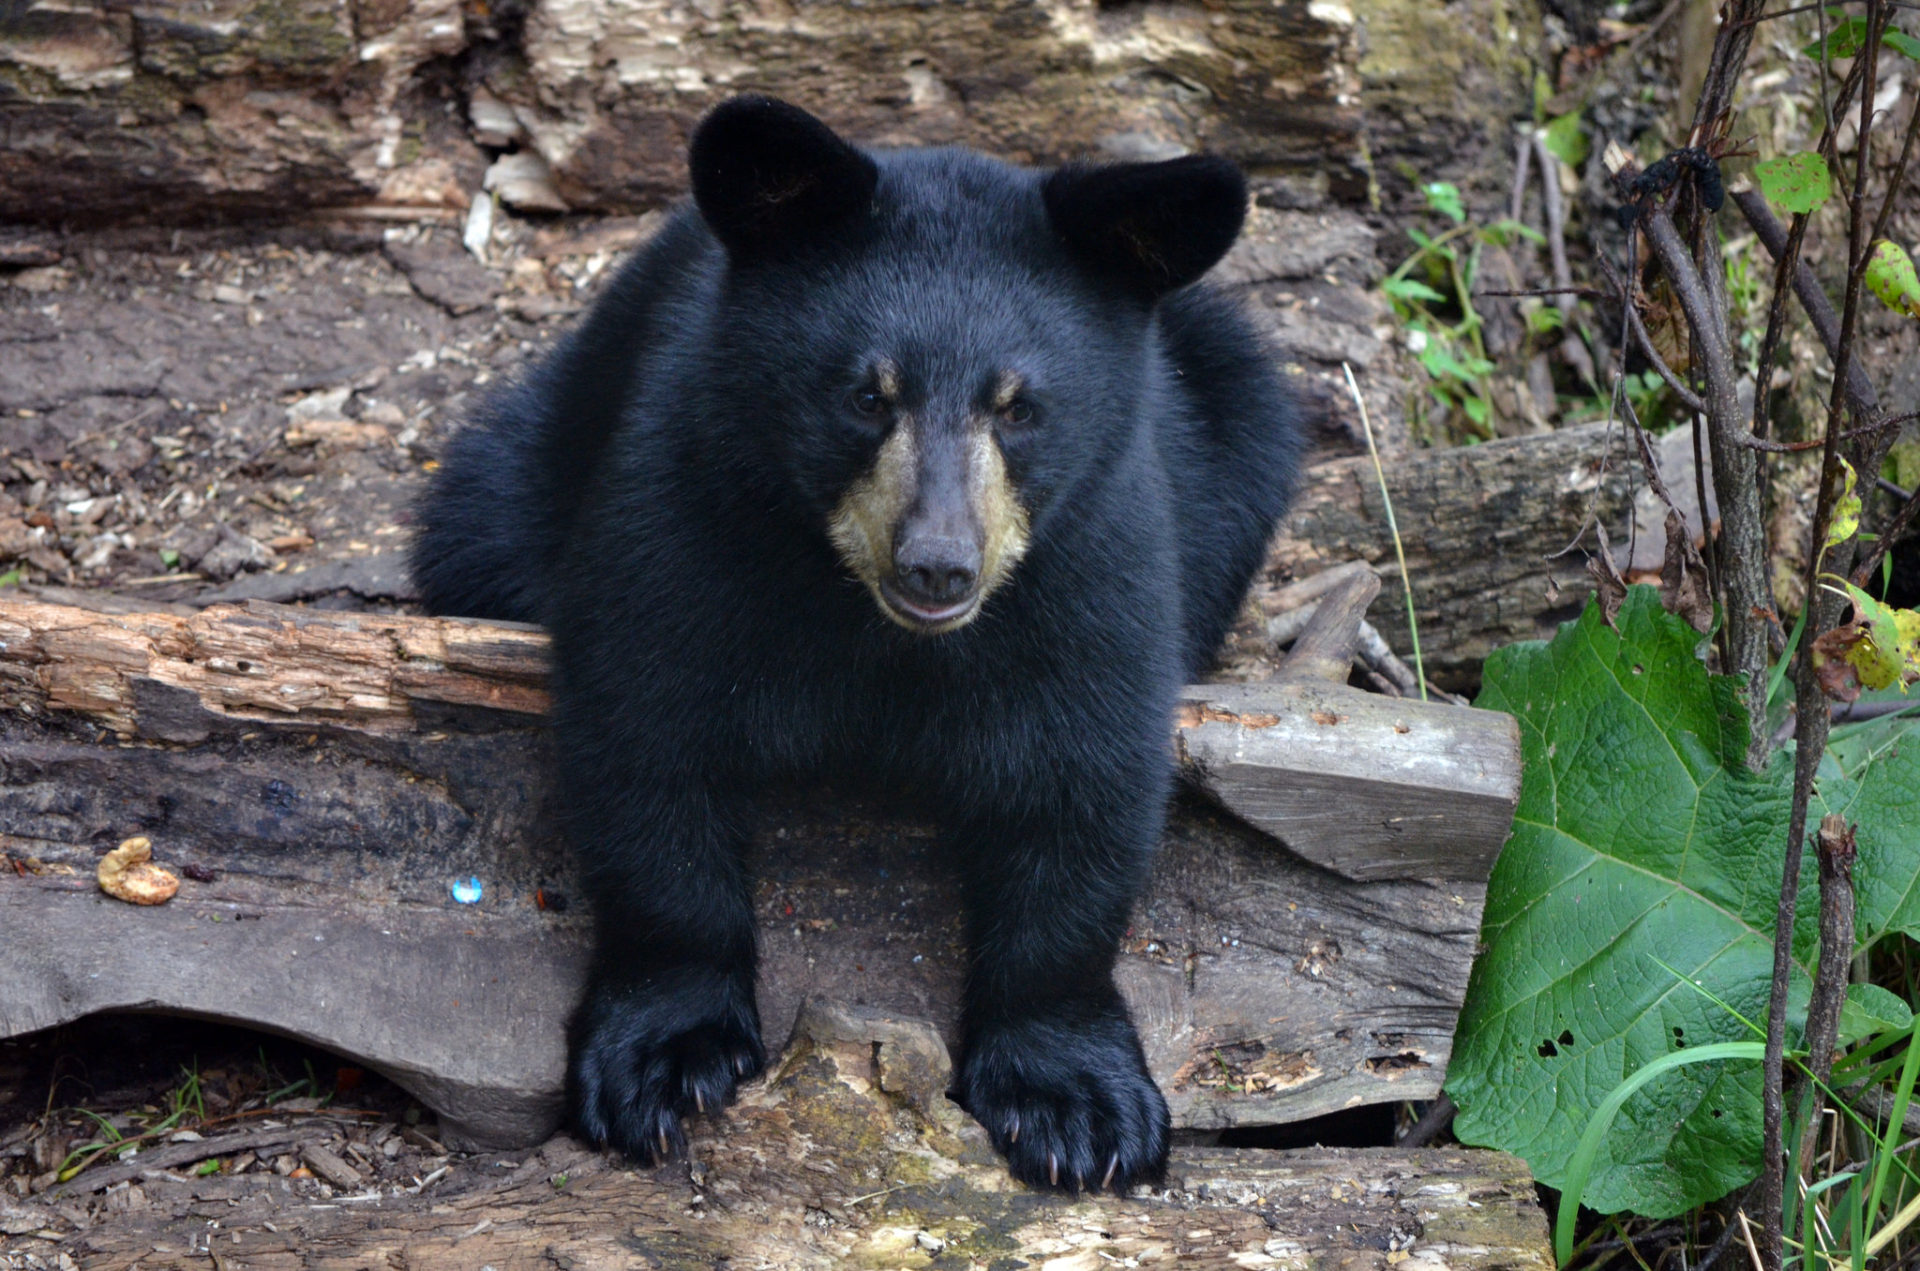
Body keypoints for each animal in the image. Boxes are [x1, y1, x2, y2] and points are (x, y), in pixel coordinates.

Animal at [411, 95, 1301, 1193]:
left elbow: (1081, 785)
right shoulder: (684, 504)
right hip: (529, 470)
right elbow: (647, 741)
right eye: (867, 395)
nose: (938, 566)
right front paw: (662, 1058)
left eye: (1019, 405)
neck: (881, 631)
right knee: (479, 518)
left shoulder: (1101, 555)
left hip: (1235, 422)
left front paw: (1078, 1104)